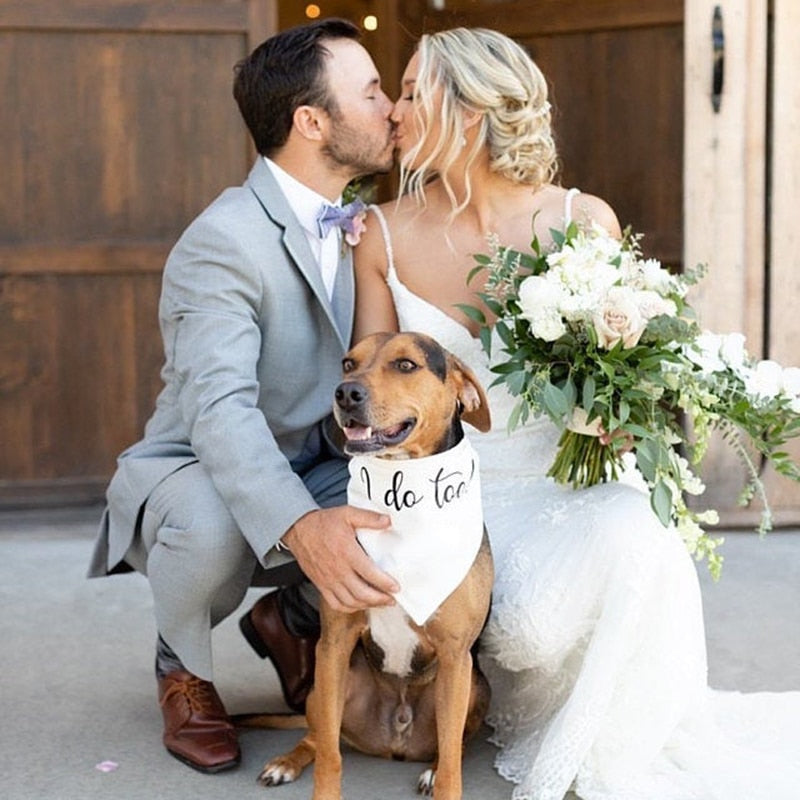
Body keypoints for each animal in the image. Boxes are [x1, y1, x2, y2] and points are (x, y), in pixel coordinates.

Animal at [256, 332, 494, 800]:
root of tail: (395, 742)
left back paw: (431, 768)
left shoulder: (456, 656)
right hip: (329, 684)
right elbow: (330, 757)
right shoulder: (333, 644)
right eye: (348, 363)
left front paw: (442, 778)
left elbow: (453, 767)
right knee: (318, 736)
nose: (346, 393)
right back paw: (286, 762)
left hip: (474, 686)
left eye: (405, 365)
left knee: (452, 746)